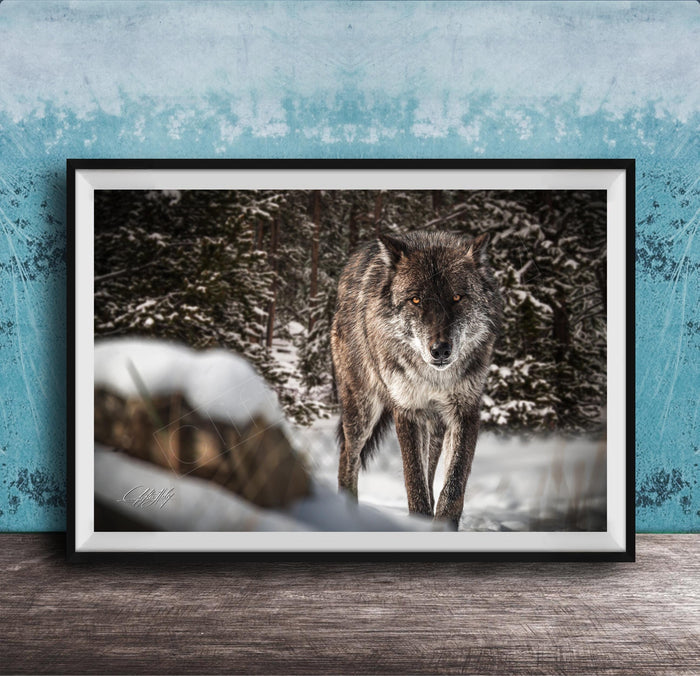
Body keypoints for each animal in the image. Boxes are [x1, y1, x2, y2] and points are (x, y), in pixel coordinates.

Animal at [331, 230, 503, 527]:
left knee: (431, 470)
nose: (441, 350)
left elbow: (453, 486)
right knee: (348, 457)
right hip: (362, 411)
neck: (434, 379)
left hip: (435, 427)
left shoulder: (465, 410)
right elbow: (415, 483)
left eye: (457, 297)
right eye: (415, 300)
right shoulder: (407, 411)